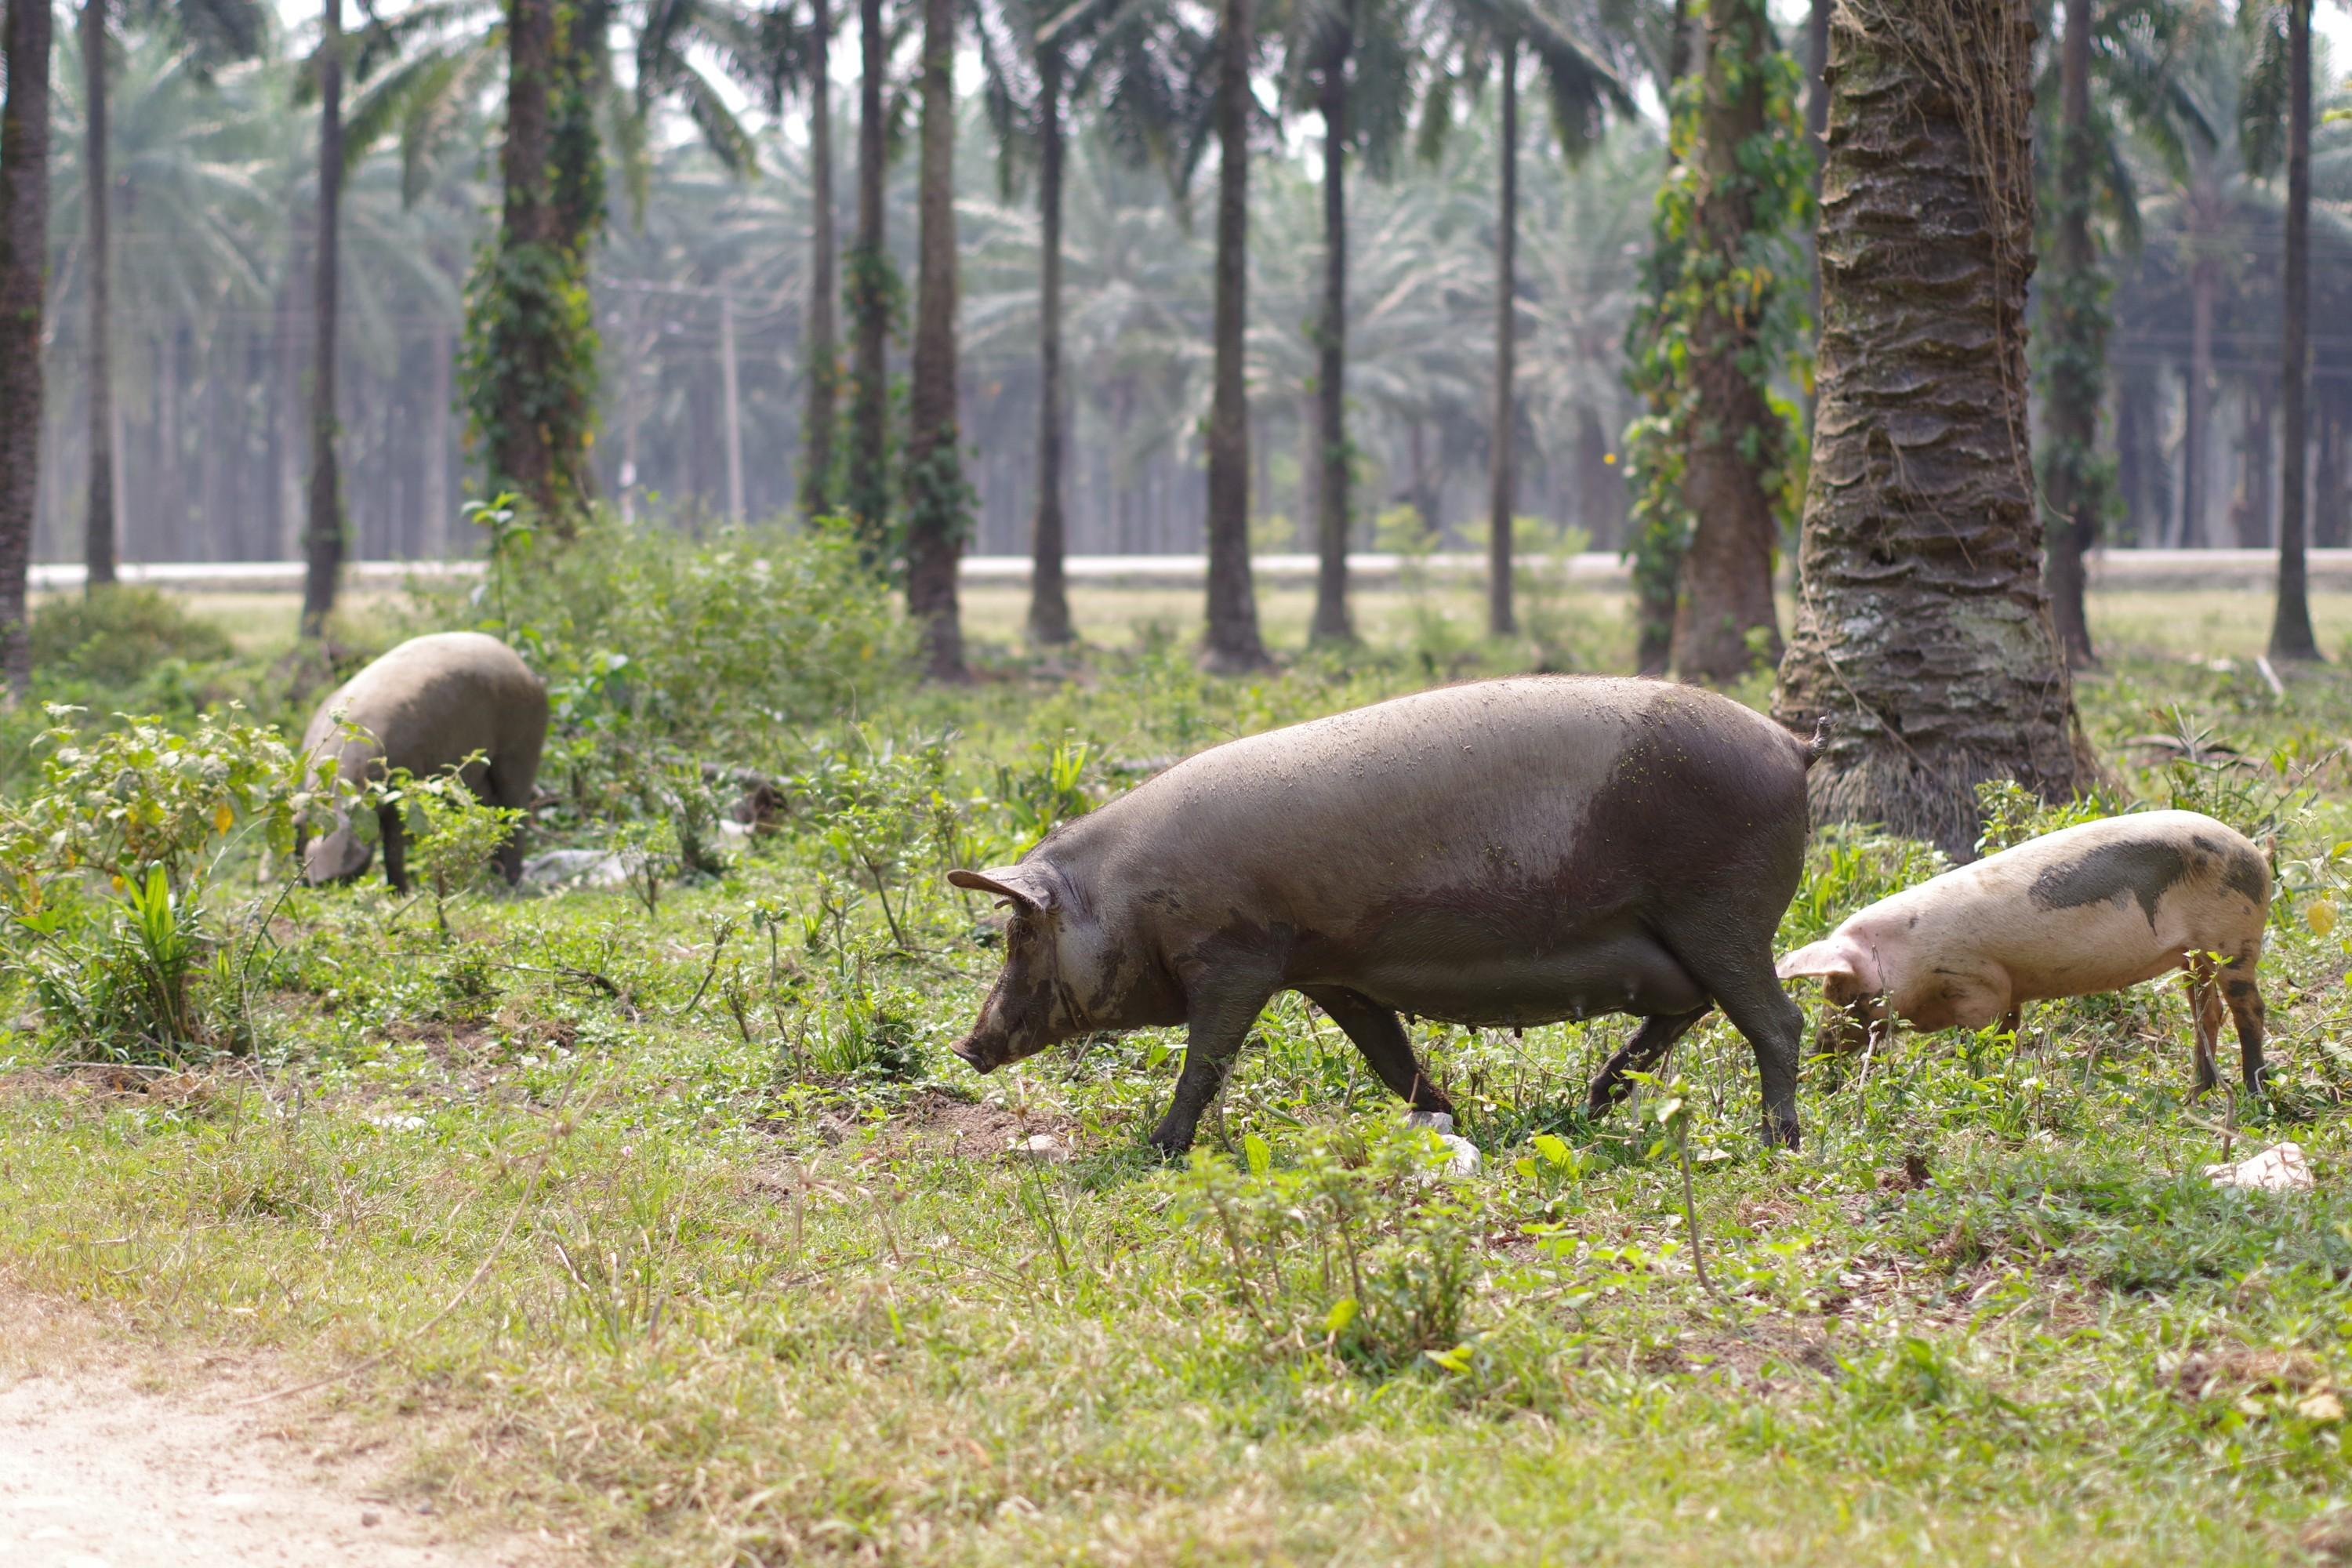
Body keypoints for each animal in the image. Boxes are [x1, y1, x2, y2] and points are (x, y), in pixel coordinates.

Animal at [296, 632, 549, 892]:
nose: (325, 878)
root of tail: (525, 668)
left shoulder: (404, 786)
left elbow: (393, 850)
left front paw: (400, 893)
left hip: (522, 746)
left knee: (516, 810)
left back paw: (510, 885)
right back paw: (493, 881)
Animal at [947, 676, 1824, 1156]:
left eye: (1017, 933)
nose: (966, 1045)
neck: (1127, 894)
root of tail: (1791, 744)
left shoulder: (1236, 960)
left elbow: (1207, 1061)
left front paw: (1159, 1149)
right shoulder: (1334, 974)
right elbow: (1387, 1056)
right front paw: (1448, 1114)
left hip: (1721, 908)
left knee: (1778, 1020)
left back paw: (1777, 1140)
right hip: (1685, 937)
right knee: (1692, 1008)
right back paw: (1592, 1104)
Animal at [1774, 810, 2271, 1094]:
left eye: (1844, 993)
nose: (1819, 1051)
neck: (1907, 954)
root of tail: (2256, 853)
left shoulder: (1977, 982)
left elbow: (1982, 1039)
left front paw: (1979, 1080)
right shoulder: (2009, 988)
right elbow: (2010, 1034)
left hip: (2234, 939)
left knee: (2248, 1010)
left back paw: (2254, 1092)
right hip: (2194, 955)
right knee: (2206, 1013)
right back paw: (2199, 1094)